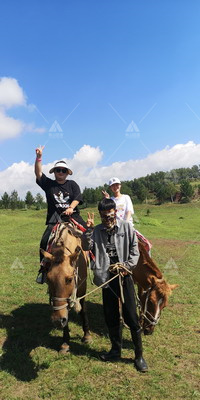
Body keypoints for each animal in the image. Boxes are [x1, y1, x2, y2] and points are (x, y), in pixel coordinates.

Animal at [42, 223, 92, 354]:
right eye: (48, 279)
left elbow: (83, 309)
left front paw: (87, 335)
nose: (56, 321)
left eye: (69, 279)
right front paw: (65, 343)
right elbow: (65, 312)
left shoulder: (82, 286)